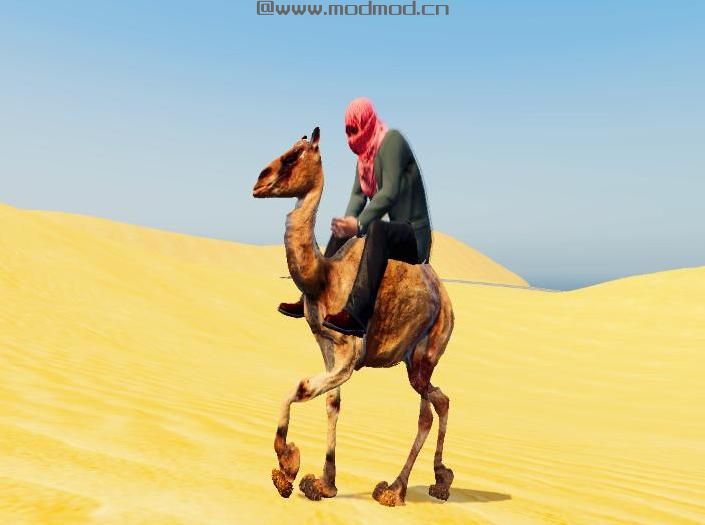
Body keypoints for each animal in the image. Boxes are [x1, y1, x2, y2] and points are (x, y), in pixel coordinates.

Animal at [251, 126, 455, 506]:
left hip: (429, 349)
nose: (259, 181)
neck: (324, 276)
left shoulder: (350, 351)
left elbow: (301, 387)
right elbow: (332, 401)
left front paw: (287, 465)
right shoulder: (326, 343)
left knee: (437, 403)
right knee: (429, 408)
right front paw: (322, 484)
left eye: (294, 155)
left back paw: (406, 488)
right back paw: (420, 483)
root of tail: (446, 300)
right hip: (415, 359)